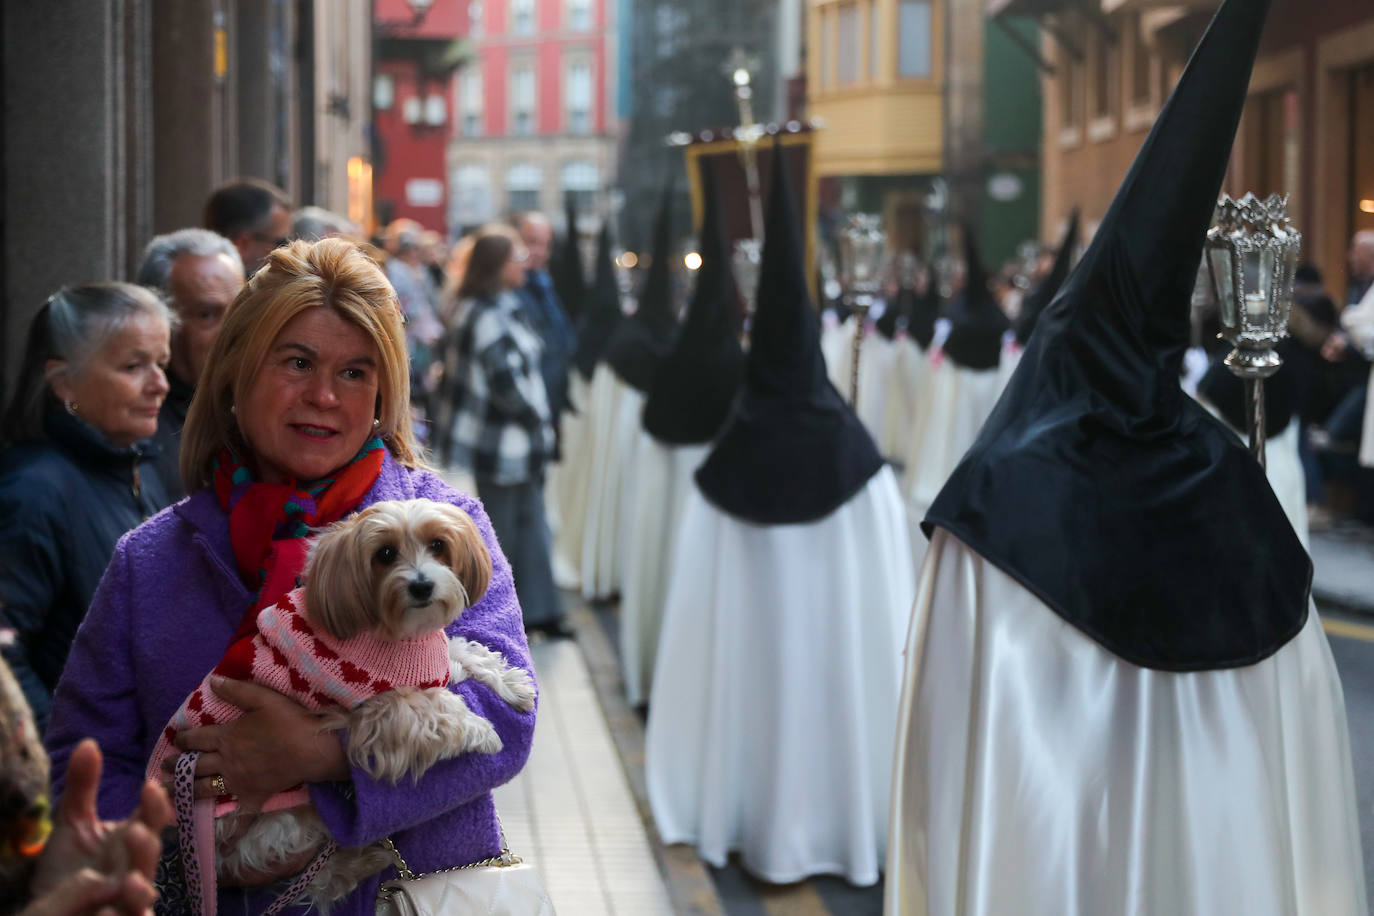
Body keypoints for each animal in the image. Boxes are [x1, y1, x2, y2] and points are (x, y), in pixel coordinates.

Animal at [147, 502, 535, 911]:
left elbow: (464, 652)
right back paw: (368, 856)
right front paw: (484, 731)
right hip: (278, 820)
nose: (421, 585)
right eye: (385, 554)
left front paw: (513, 685)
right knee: (315, 870)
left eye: (438, 544)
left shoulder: (428, 661)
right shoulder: (374, 712)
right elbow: (434, 706)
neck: (391, 630)